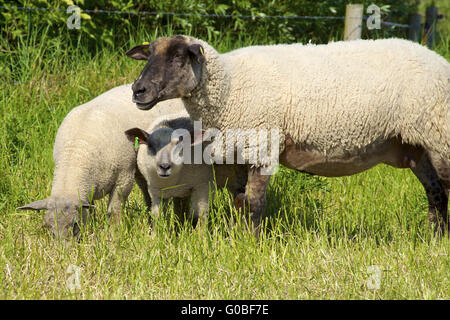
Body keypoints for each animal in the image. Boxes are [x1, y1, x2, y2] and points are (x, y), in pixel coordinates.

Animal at [17, 83, 186, 238]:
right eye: (48, 227)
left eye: (74, 224)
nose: (63, 250)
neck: (77, 155)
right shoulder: (88, 189)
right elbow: (89, 210)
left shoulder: (123, 178)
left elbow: (114, 211)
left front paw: (114, 235)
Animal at [125, 35, 450, 235]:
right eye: (148, 55)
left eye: (179, 57)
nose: (138, 90)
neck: (229, 86)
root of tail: (438, 59)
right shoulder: (237, 152)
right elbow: (240, 201)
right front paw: (237, 240)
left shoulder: (261, 145)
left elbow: (255, 203)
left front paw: (251, 245)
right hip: (417, 145)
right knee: (436, 193)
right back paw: (435, 239)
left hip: (440, 136)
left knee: (443, 189)